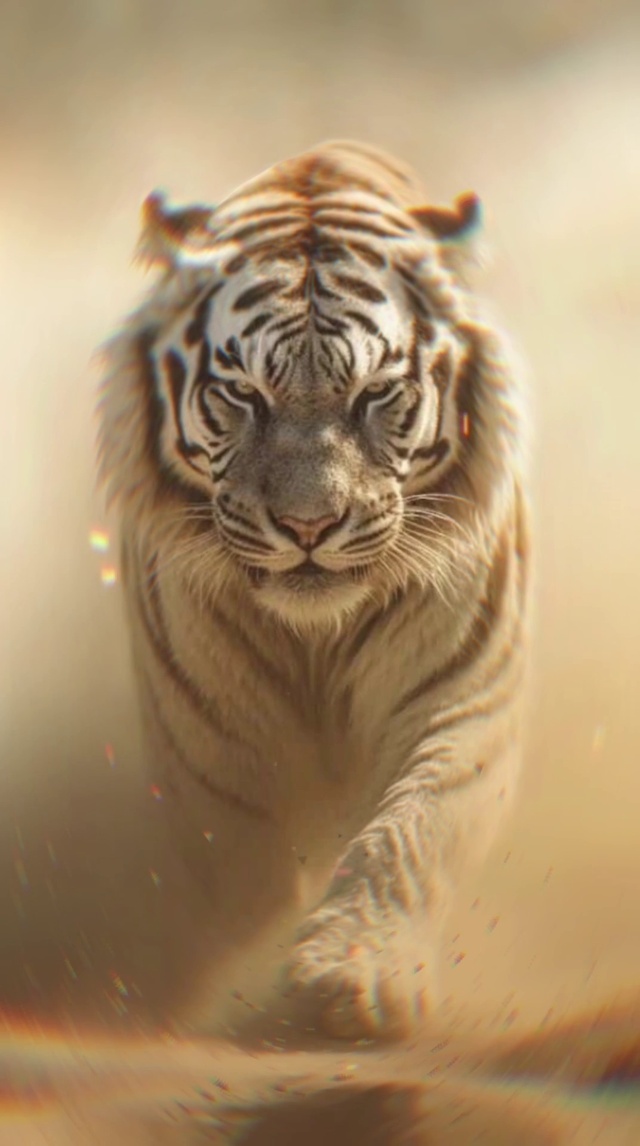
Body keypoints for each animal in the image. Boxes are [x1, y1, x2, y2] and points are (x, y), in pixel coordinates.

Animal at [98, 140, 529, 1043]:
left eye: (375, 394)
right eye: (242, 394)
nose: (308, 524)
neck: (316, 637)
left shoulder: (463, 700)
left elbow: (406, 833)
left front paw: (351, 977)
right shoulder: (213, 746)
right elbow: (245, 873)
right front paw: (229, 980)